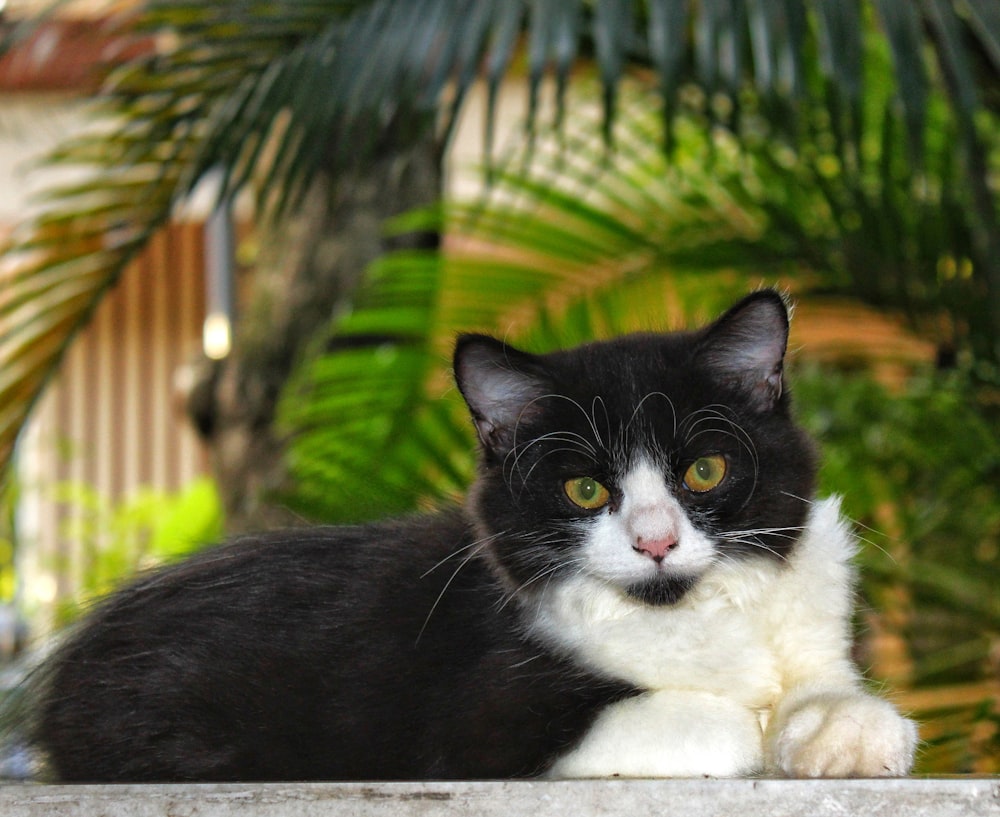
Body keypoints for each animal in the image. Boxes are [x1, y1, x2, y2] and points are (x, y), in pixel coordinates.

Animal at [23, 290, 916, 780]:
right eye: (585, 488)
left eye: (703, 471)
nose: (656, 543)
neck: (690, 612)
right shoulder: (480, 719)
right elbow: (718, 718)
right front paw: (765, 727)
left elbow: (817, 682)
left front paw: (848, 724)